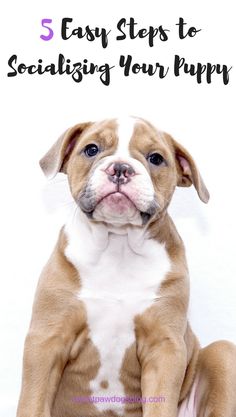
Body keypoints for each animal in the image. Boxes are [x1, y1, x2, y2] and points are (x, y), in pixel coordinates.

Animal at [16, 117, 236, 416]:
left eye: (156, 158)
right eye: (91, 149)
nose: (120, 168)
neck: (117, 246)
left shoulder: (164, 346)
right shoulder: (46, 340)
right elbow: (33, 402)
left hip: (224, 354)